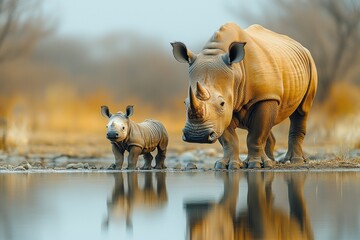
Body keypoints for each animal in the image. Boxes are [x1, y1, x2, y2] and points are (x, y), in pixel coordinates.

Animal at [172, 22, 318, 169]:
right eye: (185, 103)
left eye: (222, 103)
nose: (196, 136)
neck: (236, 72)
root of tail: (301, 46)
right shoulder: (223, 114)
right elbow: (229, 139)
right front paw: (226, 165)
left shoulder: (265, 97)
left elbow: (256, 135)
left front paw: (256, 165)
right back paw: (271, 161)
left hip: (310, 63)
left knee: (302, 111)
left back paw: (294, 161)